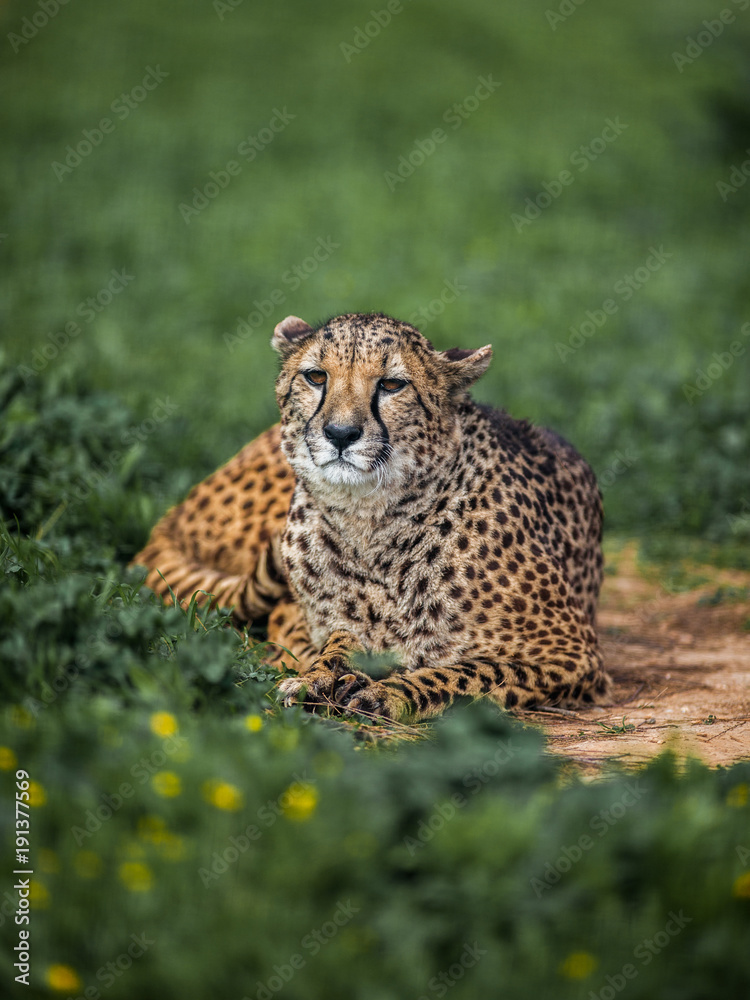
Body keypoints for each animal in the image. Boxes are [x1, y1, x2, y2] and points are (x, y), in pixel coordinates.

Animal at [133, 311, 610, 722]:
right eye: (316, 376)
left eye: (392, 385)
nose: (341, 434)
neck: (372, 523)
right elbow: (337, 638)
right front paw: (319, 676)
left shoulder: (572, 654)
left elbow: (469, 671)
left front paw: (389, 692)